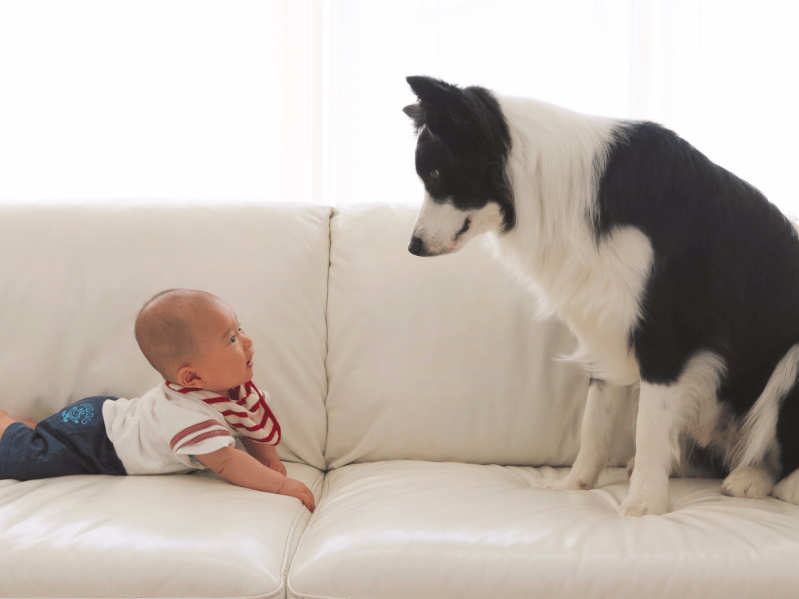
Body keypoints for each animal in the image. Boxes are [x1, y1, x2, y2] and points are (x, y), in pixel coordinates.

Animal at [404, 75, 799, 516]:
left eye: (436, 174)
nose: (413, 247)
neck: (552, 187)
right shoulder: (603, 322)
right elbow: (594, 419)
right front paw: (575, 484)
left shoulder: (665, 333)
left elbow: (648, 425)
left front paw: (644, 504)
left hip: (791, 360)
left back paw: (754, 480)